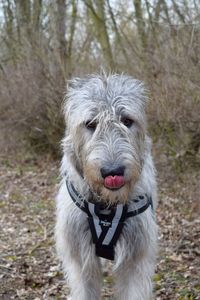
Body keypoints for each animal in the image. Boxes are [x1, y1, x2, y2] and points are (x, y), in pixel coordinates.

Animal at [55, 73, 158, 300]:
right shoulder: (81, 261)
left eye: (127, 120)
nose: (113, 171)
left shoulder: (135, 262)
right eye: (90, 123)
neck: (106, 206)